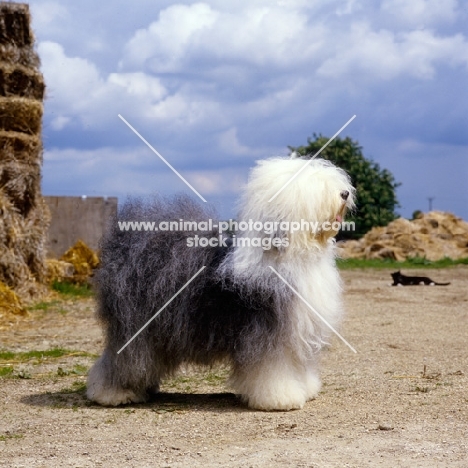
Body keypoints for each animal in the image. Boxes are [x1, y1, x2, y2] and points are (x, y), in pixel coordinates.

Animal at [87, 156, 354, 410]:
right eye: (316, 186)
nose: (345, 193)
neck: (292, 253)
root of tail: (125, 243)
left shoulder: (299, 330)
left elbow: (299, 364)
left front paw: (307, 388)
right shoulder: (268, 332)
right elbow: (274, 368)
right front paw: (280, 398)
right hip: (136, 325)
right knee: (123, 359)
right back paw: (114, 393)